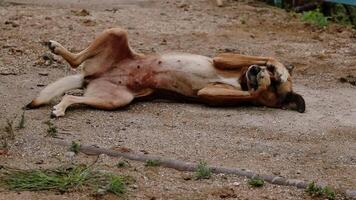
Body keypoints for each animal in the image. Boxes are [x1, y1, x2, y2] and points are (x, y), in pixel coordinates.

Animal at [25, 27, 306, 116]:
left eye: (275, 88)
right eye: (273, 80)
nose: (256, 72)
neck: (240, 82)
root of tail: (91, 77)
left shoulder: (209, 93)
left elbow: (253, 96)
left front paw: (264, 85)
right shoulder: (222, 58)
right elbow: (269, 56)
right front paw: (279, 68)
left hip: (116, 100)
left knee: (71, 95)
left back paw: (60, 107)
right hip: (117, 32)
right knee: (75, 61)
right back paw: (56, 48)